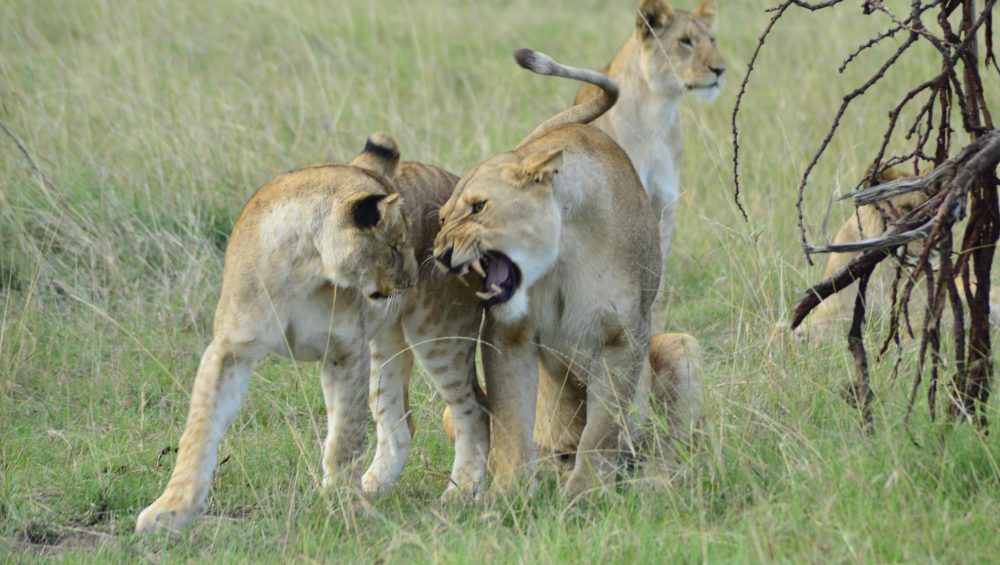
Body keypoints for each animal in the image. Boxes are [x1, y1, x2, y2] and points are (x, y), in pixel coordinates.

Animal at [137, 134, 490, 533]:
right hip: (386, 345)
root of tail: (461, 182)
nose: (414, 280)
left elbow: (345, 439)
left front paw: (345, 506)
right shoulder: (229, 350)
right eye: (395, 248)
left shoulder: (346, 352)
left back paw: (458, 494)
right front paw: (170, 510)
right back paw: (374, 486)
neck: (303, 268)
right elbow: (198, 431)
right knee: (400, 426)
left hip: (439, 334)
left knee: (474, 413)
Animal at [433, 49, 662, 494]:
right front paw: (511, 492)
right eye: (443, 218)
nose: (439, 254)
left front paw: (584, 492)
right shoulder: (507, 333)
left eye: (478, 207)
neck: (562, 257)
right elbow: (511, 419)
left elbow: (601, 427)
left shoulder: (624, 337)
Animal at [576, 0, 725, 329]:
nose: (720, 70)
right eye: (685, 41)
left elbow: (658, 271)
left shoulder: (665, 203)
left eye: (712, 40)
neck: (656, 114)